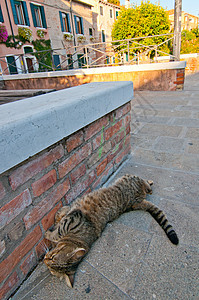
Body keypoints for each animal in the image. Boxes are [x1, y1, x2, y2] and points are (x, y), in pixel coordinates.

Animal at [44, 175, 179, 288]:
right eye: (50, 267)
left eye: (53, 258)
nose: (45, 259)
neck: (77, 238)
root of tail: (137, 202)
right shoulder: (72, 213)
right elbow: (63, 213)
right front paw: (59, 215)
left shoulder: (74, 218)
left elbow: (58, 230)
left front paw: (49, 233)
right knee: (149, 188)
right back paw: (150, 182)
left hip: (130, 177)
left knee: (145, 184)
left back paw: (148, 183)